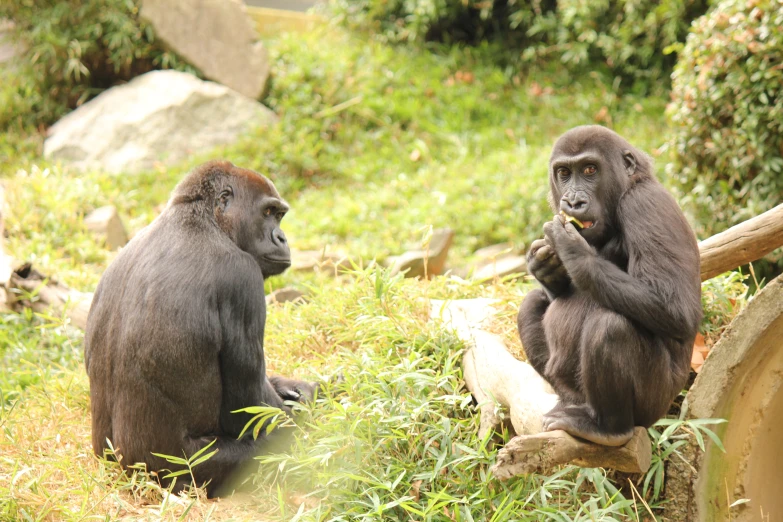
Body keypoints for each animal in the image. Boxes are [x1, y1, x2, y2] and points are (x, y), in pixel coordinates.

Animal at [84, 159, 316, 496]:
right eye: (268, 212)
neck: (203, 218)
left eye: (279, 215)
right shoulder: (242, 276)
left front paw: (295, 387)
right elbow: (251, 410)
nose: (281, 238)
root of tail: (128, 474)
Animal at [516, 125, 700, 442]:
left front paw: (573, 250)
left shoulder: (644, 203)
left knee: (610, 327)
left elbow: (677, 309)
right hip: (575, 395)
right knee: (531, 304)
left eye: (590, 169)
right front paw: (544, 268)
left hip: (653, 408)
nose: (573, 202)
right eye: (564, 173)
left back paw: (609, 427)